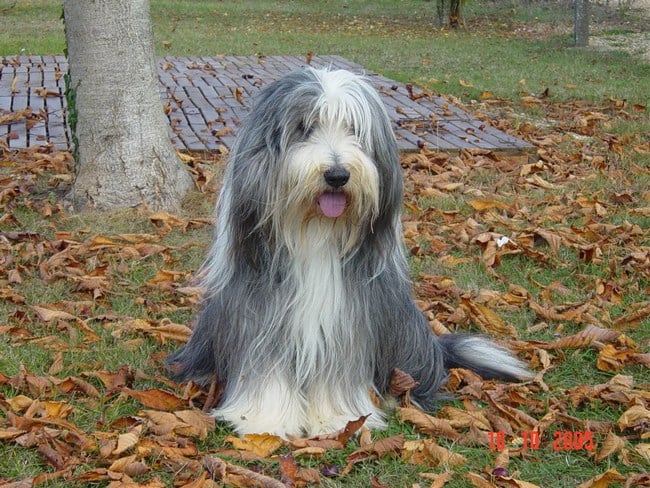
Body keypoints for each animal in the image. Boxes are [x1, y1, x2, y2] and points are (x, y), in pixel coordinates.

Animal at [165, 66, 528, 436]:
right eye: (304, 127)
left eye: (355, 129)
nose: (337, 175)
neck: (315, 234)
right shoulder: (260, 312)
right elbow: (265, 366)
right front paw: (266, 419)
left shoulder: (349, 318)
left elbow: (338, 370)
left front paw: (336, 419)